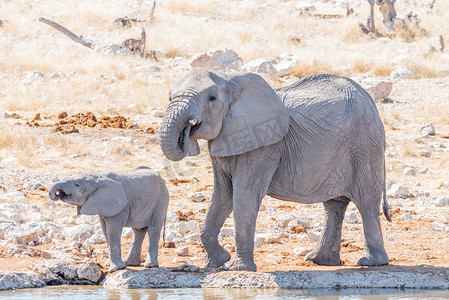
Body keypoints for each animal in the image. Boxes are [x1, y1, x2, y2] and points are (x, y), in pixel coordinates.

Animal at [160, 68, 388, 272]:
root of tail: (369, 99)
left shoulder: (264, 144)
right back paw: (319, 260)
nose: (188, 128)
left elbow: (244, 196)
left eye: (212, 98)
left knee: (366, 201)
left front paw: (237, 268)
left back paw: (371, 262)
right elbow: (222, 195)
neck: (231, 79)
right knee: (334, 205)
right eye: (169, 96)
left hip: (365, 145)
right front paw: (215, 262)